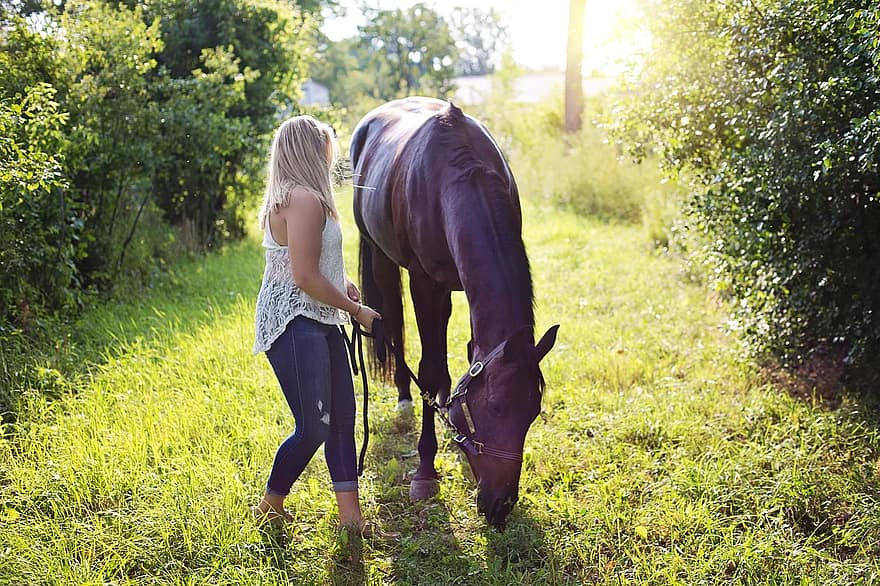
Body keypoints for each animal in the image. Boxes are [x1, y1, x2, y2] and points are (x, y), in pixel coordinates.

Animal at [350, 96, 556, 524]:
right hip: (381, 258)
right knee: (391, 323)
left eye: (533, 411)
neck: (454, 175)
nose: (500, 504)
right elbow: (428, 369)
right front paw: (426, 471)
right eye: (494, 408)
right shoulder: (424, 283)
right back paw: (405, 398)